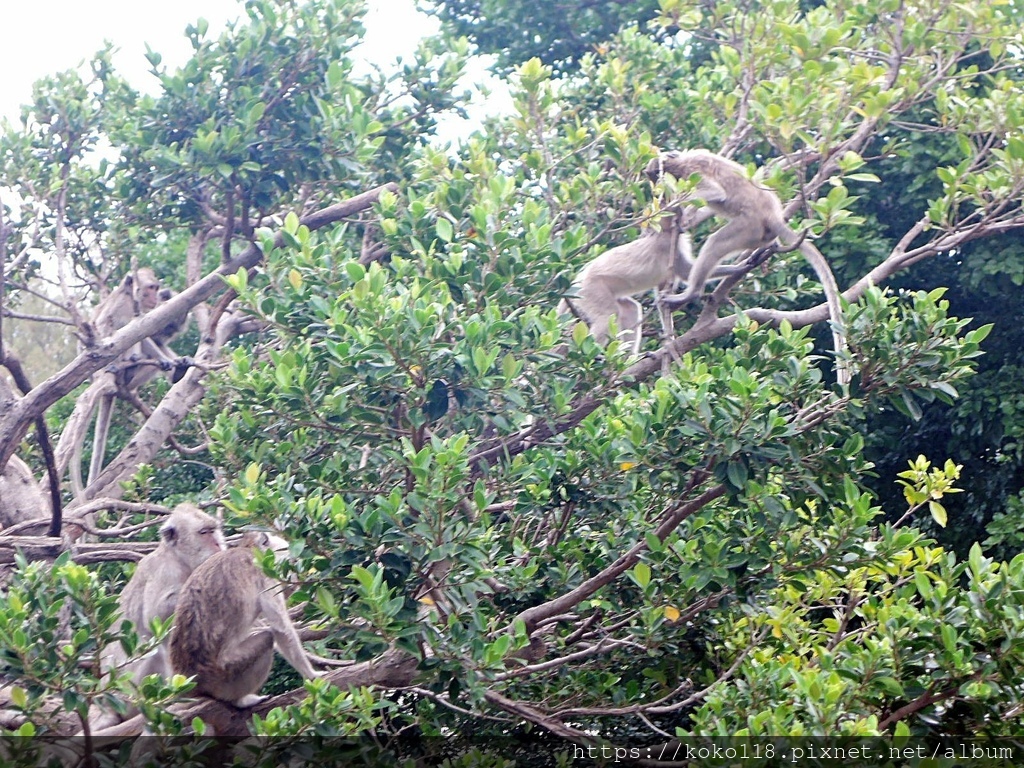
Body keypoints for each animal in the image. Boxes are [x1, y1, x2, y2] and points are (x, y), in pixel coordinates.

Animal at [171, 532, 323, 708]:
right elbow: (281, 629)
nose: (295, 576)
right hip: (226, 674)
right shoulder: (265, 575)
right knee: (267, 638)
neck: (249, 549)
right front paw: (311, 674)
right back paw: (240, 700)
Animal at [643, 148, 851, 391]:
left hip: (748, 226)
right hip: (755, 234)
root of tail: (772, 216)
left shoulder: (691, 172)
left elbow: (713, 192)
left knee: (715, 242)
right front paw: (680, 217)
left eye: (656, 176)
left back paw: (691, 293)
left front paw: (679, 212)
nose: (656, 189)